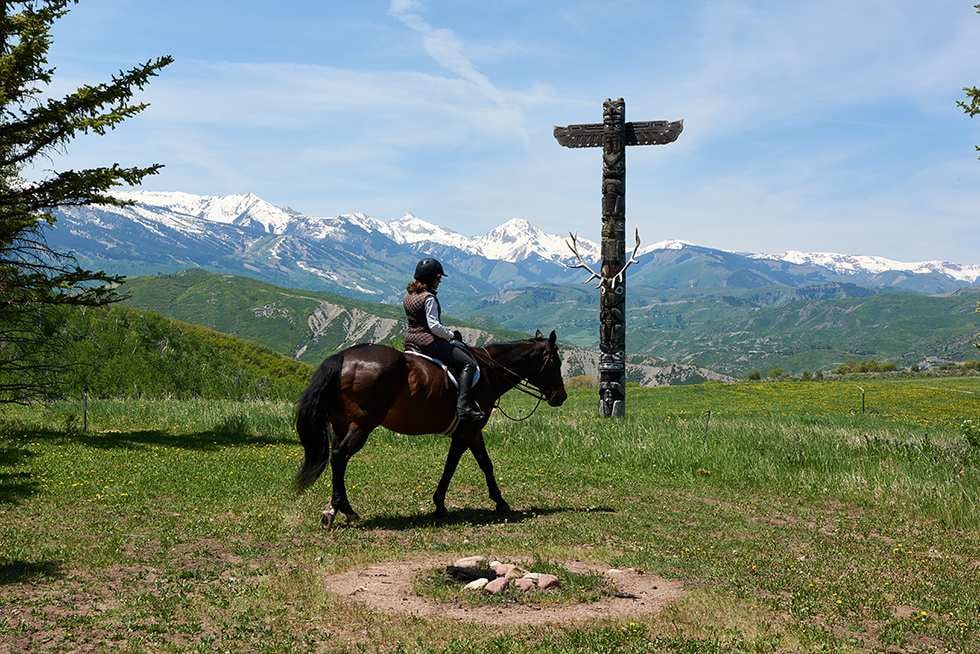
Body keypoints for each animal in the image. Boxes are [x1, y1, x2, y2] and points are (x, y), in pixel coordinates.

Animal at [292, 334, 568, 528]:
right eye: (555, 362)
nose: (561, 397)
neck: (489, 372)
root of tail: (343, 357)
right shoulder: (469, 430)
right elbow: (474, 464)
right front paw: (498, 503)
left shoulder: (467, 433)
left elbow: (463, 463)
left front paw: (443, 504)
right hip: (362, 424)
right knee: (340, 456)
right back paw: (348, 511)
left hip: (341, 424)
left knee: (337, 460)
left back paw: (331, 510)